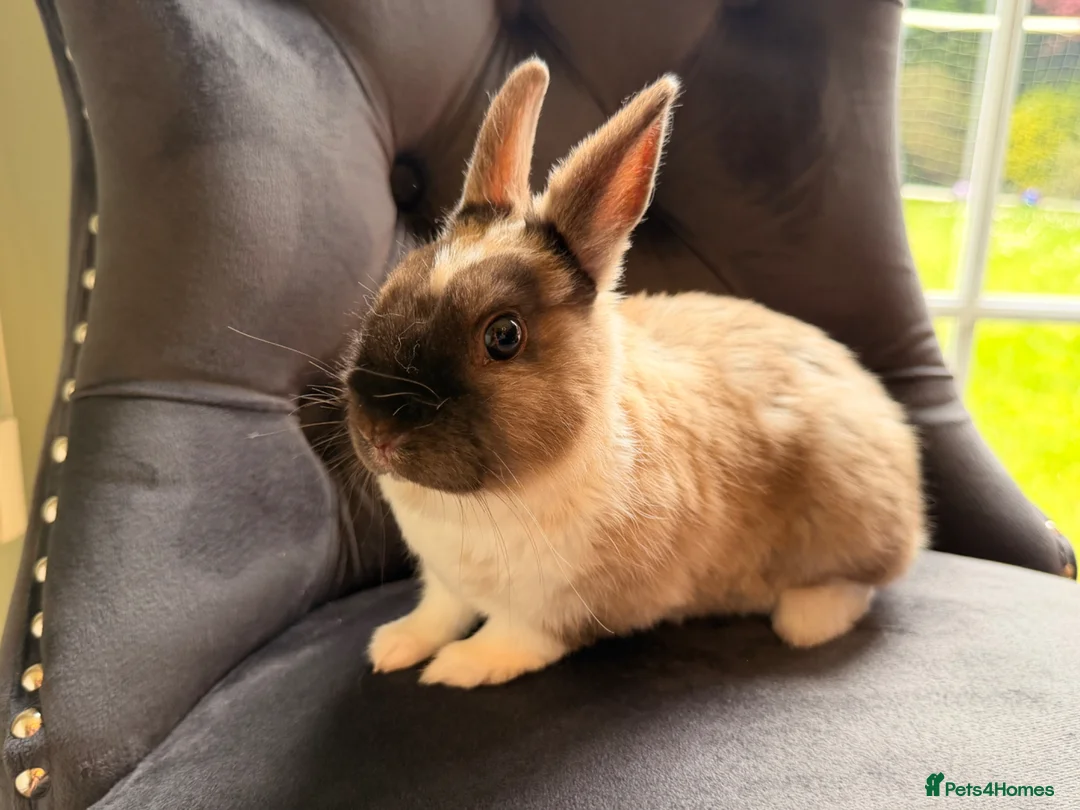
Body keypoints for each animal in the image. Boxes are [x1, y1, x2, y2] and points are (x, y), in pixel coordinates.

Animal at [343, 58, 926, 689]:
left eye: (504, 337)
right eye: (391, 288)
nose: (377, 433)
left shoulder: (562, 606)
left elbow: (516, 637)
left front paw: (458, 667)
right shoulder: (445, 581)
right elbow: (439, 611)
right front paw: (394, 645)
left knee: (864, 582)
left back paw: (806, 620)